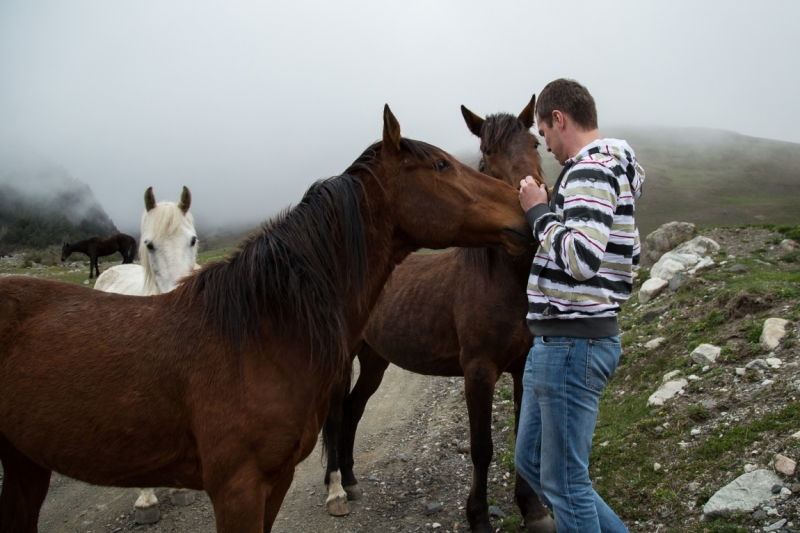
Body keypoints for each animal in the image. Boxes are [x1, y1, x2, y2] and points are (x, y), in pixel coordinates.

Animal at [320, 97, 556, 532]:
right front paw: (478, 516)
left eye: (534, 143)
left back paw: (352, 479)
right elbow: (481, 448)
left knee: (354, 411)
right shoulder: (478, 371)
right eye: (487, 152)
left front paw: (532, 508)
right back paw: (336, 491)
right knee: (335, 415)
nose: (530, 207)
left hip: (375, 361)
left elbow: (522, 438)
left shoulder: (524, 366)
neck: (503, 281)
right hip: (342, 362)